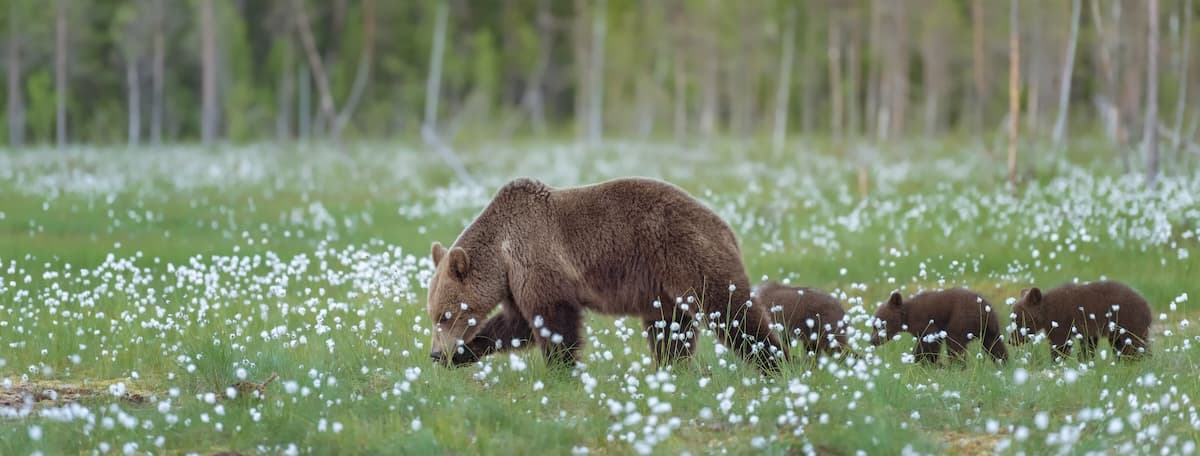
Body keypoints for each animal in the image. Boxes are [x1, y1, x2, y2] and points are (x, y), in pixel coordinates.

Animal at [425, 177, 787, 373]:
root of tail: (726, 227)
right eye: (433, 315)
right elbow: (516, 325)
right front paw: (460, 355)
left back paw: (775, 362)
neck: (502, 251)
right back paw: (670, 368)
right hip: (664, 288)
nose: (434, 352)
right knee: (671, 329)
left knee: (730, 310)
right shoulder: (515, 282)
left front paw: (561, 369)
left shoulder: (537, 259)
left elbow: (553, 319)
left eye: (445, 314)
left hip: (689, 254)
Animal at [870, 288, 1008, 364]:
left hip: (961, 318)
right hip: (990, 329)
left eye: (879, 325)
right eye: (873, 326)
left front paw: (924, 361)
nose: (872, 341)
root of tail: (985, 310)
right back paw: (1004, 363)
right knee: (995, 345)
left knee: (955, 343)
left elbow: (930, 341)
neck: (907, 317)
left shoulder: (924, 321)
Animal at [1009, 280, 1151, 361]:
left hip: (1129, 321)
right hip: (1117, 331)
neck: (1046, 311)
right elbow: (1088, 345)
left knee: (1135, 344)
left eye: (1018, 319)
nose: (1011, 341)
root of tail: (1147, 305)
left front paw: (1057, 360)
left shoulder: (1061, 319)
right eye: (1012, 318)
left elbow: (1060, 344)